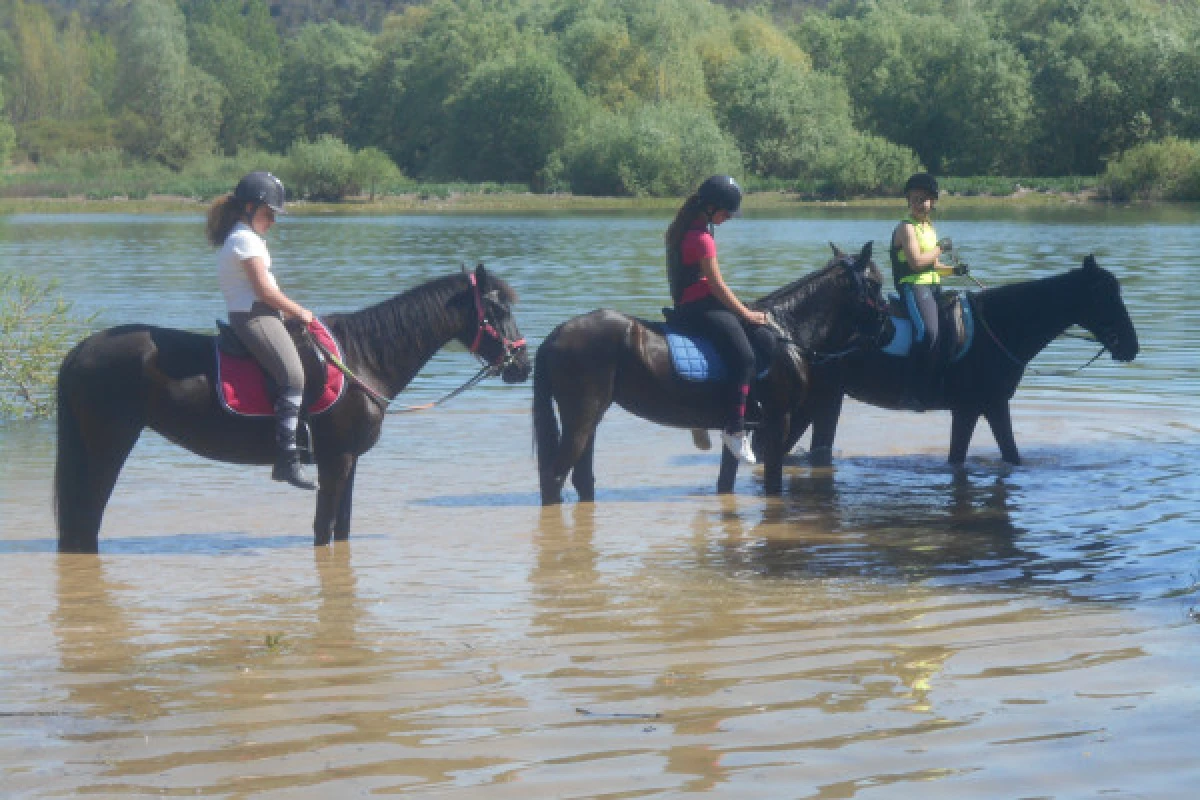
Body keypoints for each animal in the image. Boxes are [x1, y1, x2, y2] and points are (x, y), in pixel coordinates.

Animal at [51, 266, 530, 554]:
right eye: (498, 308)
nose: (523, 365)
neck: (362, 360)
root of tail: (81, 350)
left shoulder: (348, 462)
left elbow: (341, 528)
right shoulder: (336, 462)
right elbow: (323, 531)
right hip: (108, 447)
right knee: (86, 518)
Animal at [535, 245, 892, 506]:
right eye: (876, 284)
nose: (887, 331)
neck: (785, 331)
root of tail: (555, 334)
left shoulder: (737, 428)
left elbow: (725, 482)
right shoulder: (778, 422)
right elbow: (772, 484)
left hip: (589, 418)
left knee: (581, 478)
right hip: (582, 416)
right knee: (555, 477)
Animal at [782, 253, 1137, 465]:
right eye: (1104, 295)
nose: (1131, 346)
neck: (999, 328)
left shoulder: (992, 405)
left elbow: (1010, 454)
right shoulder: (969, 409)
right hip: (824, 400)